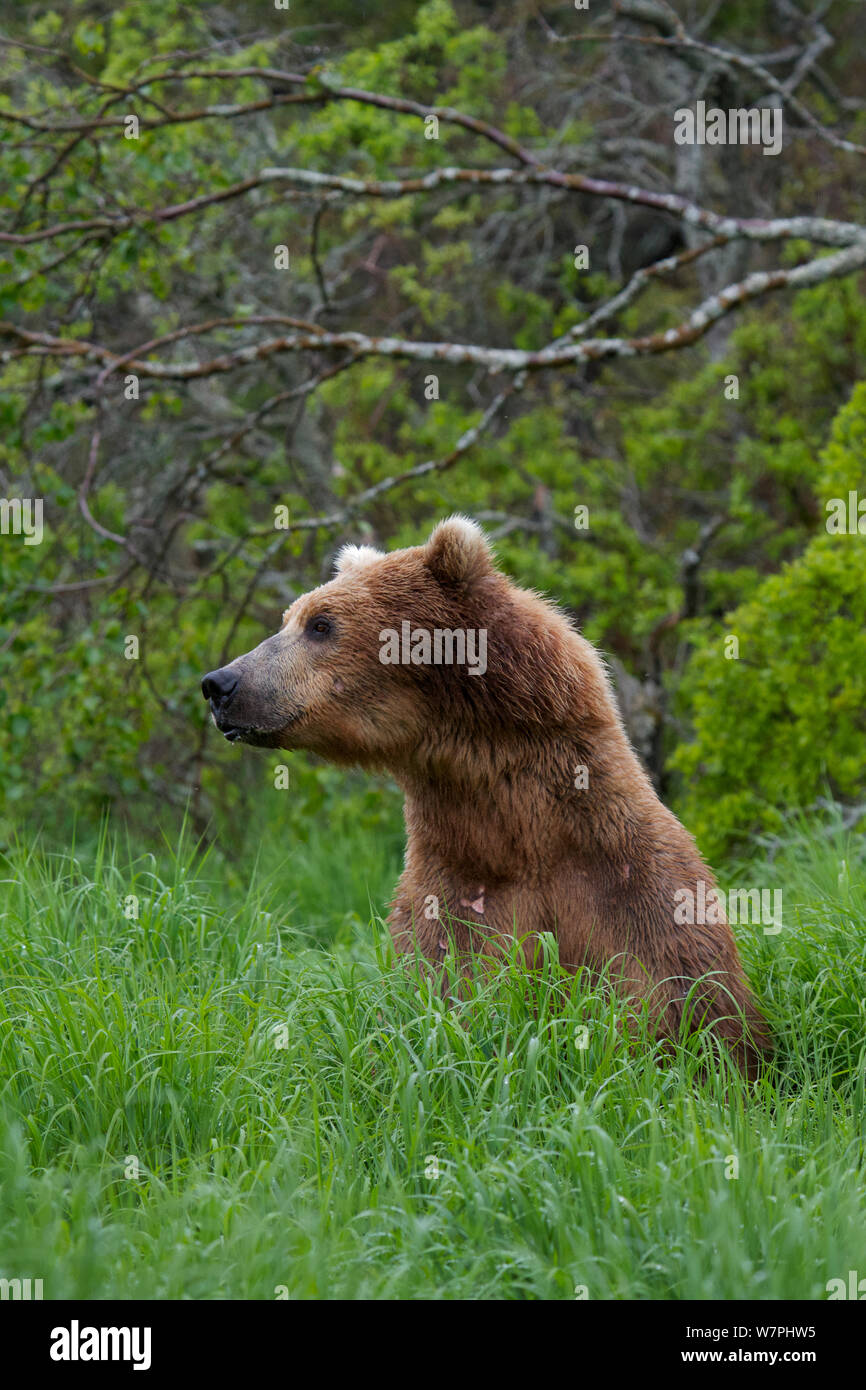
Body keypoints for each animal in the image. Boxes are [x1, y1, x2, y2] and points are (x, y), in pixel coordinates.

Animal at [201, 519, 772, 1073]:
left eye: (320, 623)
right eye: (289, 618)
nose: (220, 683)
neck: (518, 829)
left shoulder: (630, 890)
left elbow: (683, 999)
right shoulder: (457, 889)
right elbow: (449, 992)